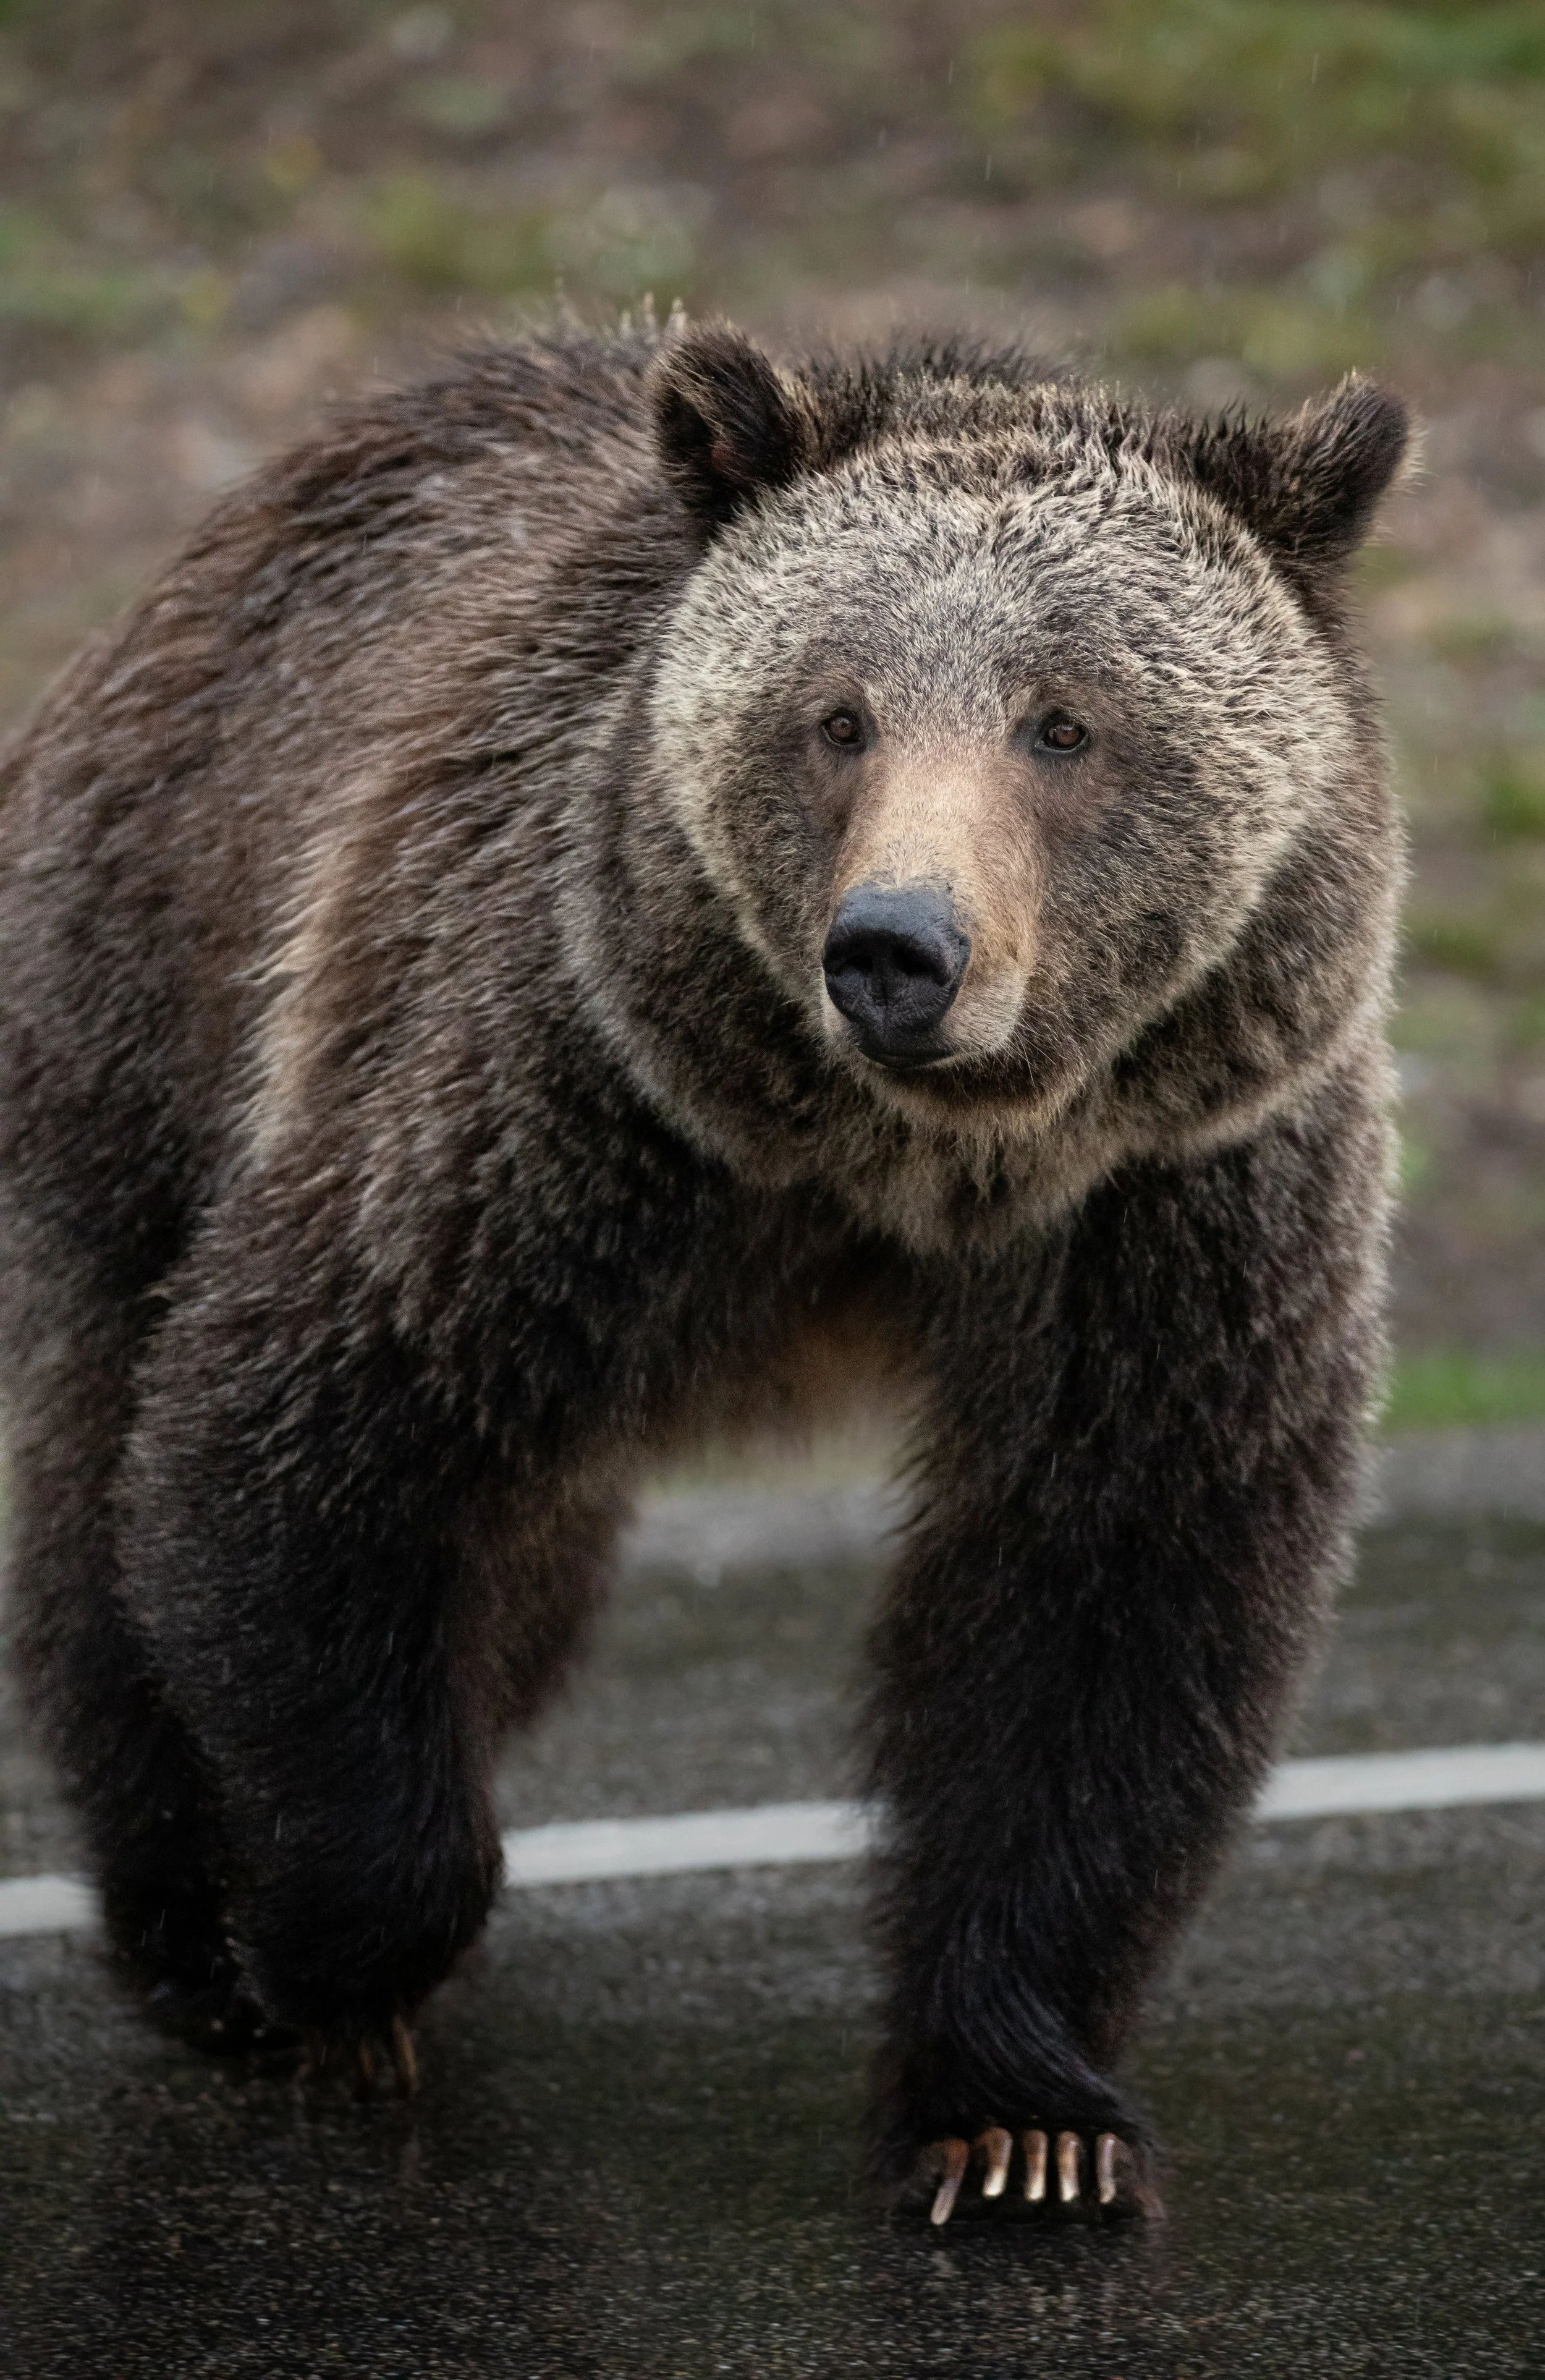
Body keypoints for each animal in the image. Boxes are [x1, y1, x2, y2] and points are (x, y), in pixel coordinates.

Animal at [0, 316, 1408, 2221]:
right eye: (836, 714)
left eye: (1064, 721)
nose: (896, 948)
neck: (897, 1162)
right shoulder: (559, 1091)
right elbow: (313, 1436)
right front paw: (316, 1959)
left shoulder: (1170, 1192)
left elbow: (1111, 1580)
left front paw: (1019, 2118)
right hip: (154, 975)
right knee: (112, 1457)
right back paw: (175, 1926)